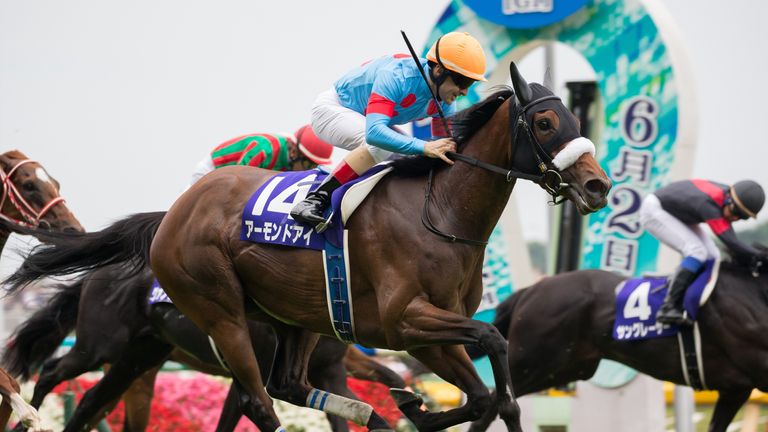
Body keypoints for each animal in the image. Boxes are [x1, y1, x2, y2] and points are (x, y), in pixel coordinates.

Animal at [3, 264, 404, 432]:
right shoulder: (254, 371)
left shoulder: (329, 371)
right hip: (98, 347)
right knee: (51, 372)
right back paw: (26, 419)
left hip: (140, 355)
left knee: (91, 401)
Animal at [468, 260, 768, 432]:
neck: (753, 291)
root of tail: (529, 291)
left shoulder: (735, 390)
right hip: (529, 363)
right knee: (491, 408)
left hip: (561, 370)